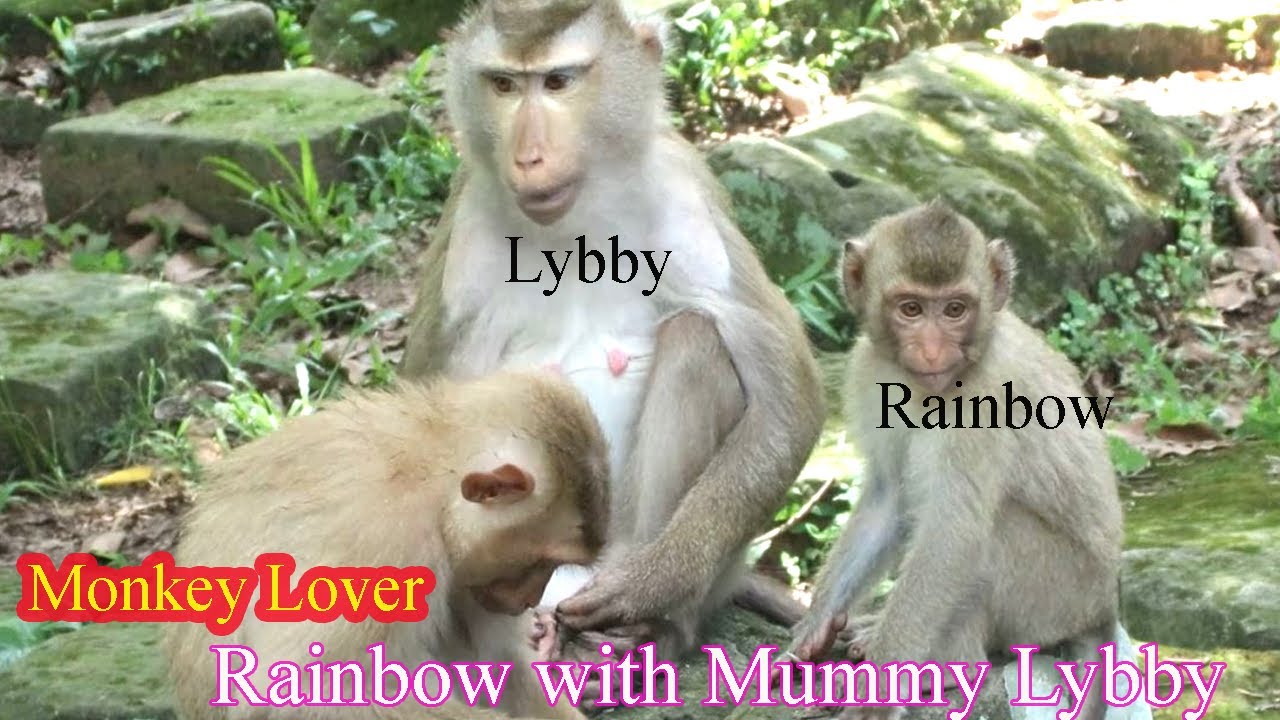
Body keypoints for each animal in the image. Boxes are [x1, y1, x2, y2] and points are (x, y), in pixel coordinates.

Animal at [166, 372, 610, 720]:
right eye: (539, 562)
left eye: (552, 566)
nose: (531, 598)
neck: (433, 479)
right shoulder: (384, 542)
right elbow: (293, 692)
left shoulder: (472, 578)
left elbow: (500, 661)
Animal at [400, 0, 823, 659]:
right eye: (504, 85)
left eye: (557, 82)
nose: (527, 158)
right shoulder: (463, 226)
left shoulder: (685, 195)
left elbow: (789, 401)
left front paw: (653, 583)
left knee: (698, 341)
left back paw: (652, 624)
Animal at [788, 202, 1123, 720]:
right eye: (910, 309)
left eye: (955, 309)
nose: (931, 350)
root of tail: (1104, 608)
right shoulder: (868, 371)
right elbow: (888, 496)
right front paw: (815, 623)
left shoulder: (987, 395)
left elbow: (953, 535)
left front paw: (877, 698)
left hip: (1057, 596)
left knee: (987, 535)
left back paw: (953, 665)